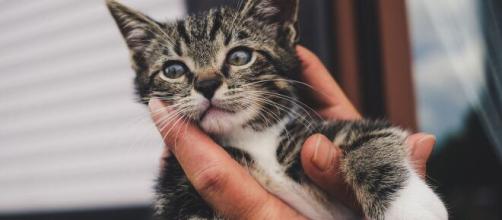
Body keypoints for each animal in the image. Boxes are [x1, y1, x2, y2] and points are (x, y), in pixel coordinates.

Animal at [106, 0, 448, 219]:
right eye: (173, 70)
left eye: (240, 56)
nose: (206, 84)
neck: (253, 141)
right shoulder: (177, 188)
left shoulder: (329, 133)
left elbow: (373, 143)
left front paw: (411, 209)